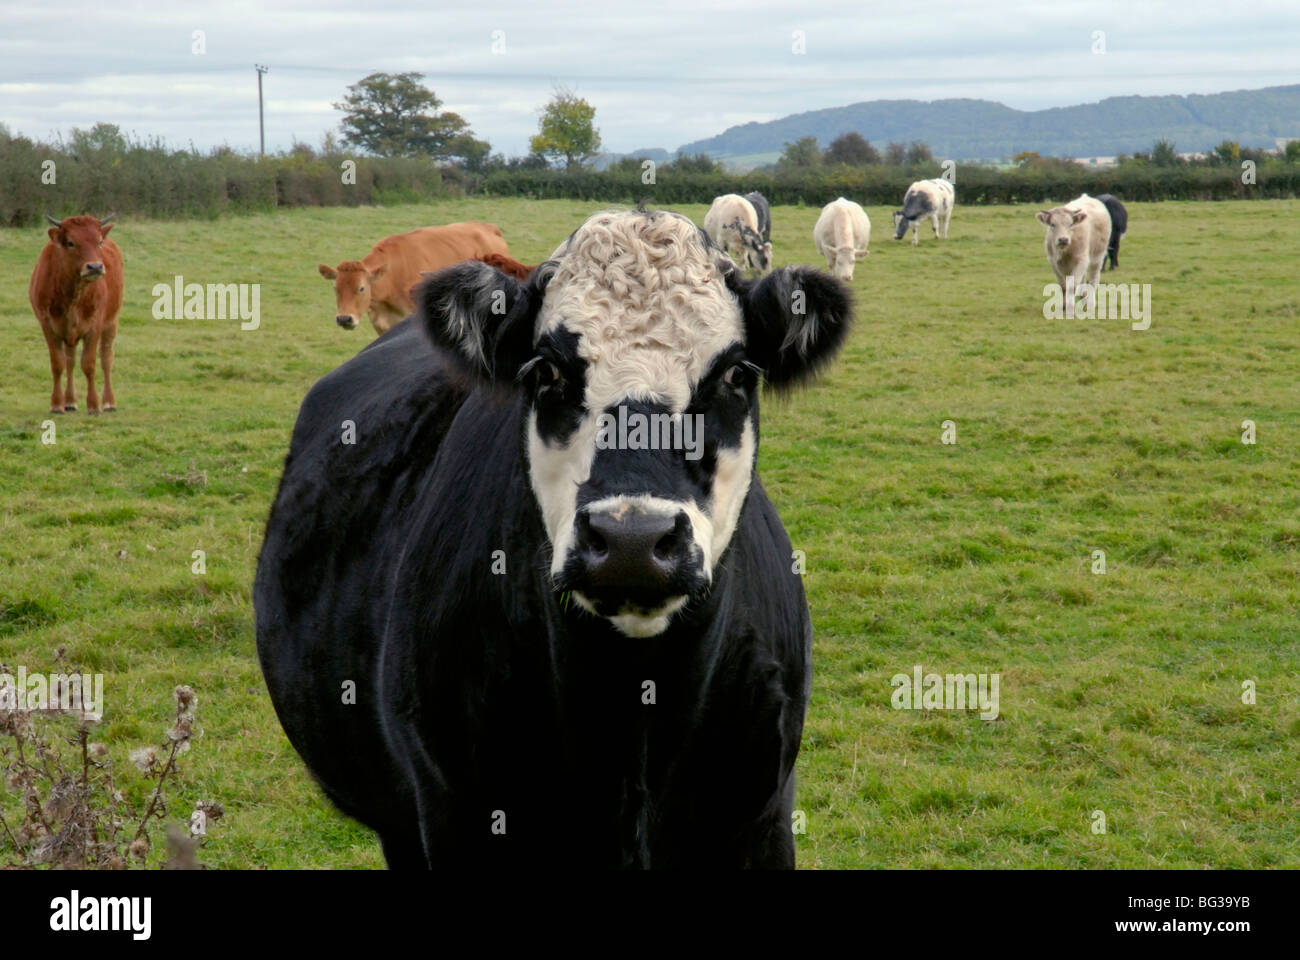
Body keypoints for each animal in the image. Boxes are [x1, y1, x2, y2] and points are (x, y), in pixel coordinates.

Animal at [29, 214, 124, 413]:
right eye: (71, 243)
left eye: (99, 241)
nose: (95, 267)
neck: (73, 295)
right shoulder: (48, 326)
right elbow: (58, 364)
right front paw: (57, 404)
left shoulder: (95, 326)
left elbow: (89, 364)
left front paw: (94, 405)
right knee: (70, 361)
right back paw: (70, 401)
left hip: (111, 323)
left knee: (106, 359)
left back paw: (109, 402)